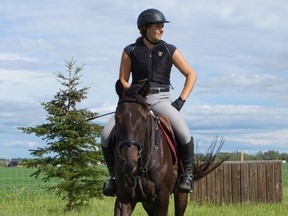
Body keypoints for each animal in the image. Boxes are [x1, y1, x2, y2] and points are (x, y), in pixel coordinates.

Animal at [111, 80, 226, 215]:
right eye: (117, 118)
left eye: (144, 119)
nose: (129, 163)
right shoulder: (124, 198)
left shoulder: (161, 199)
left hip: (180, 194)